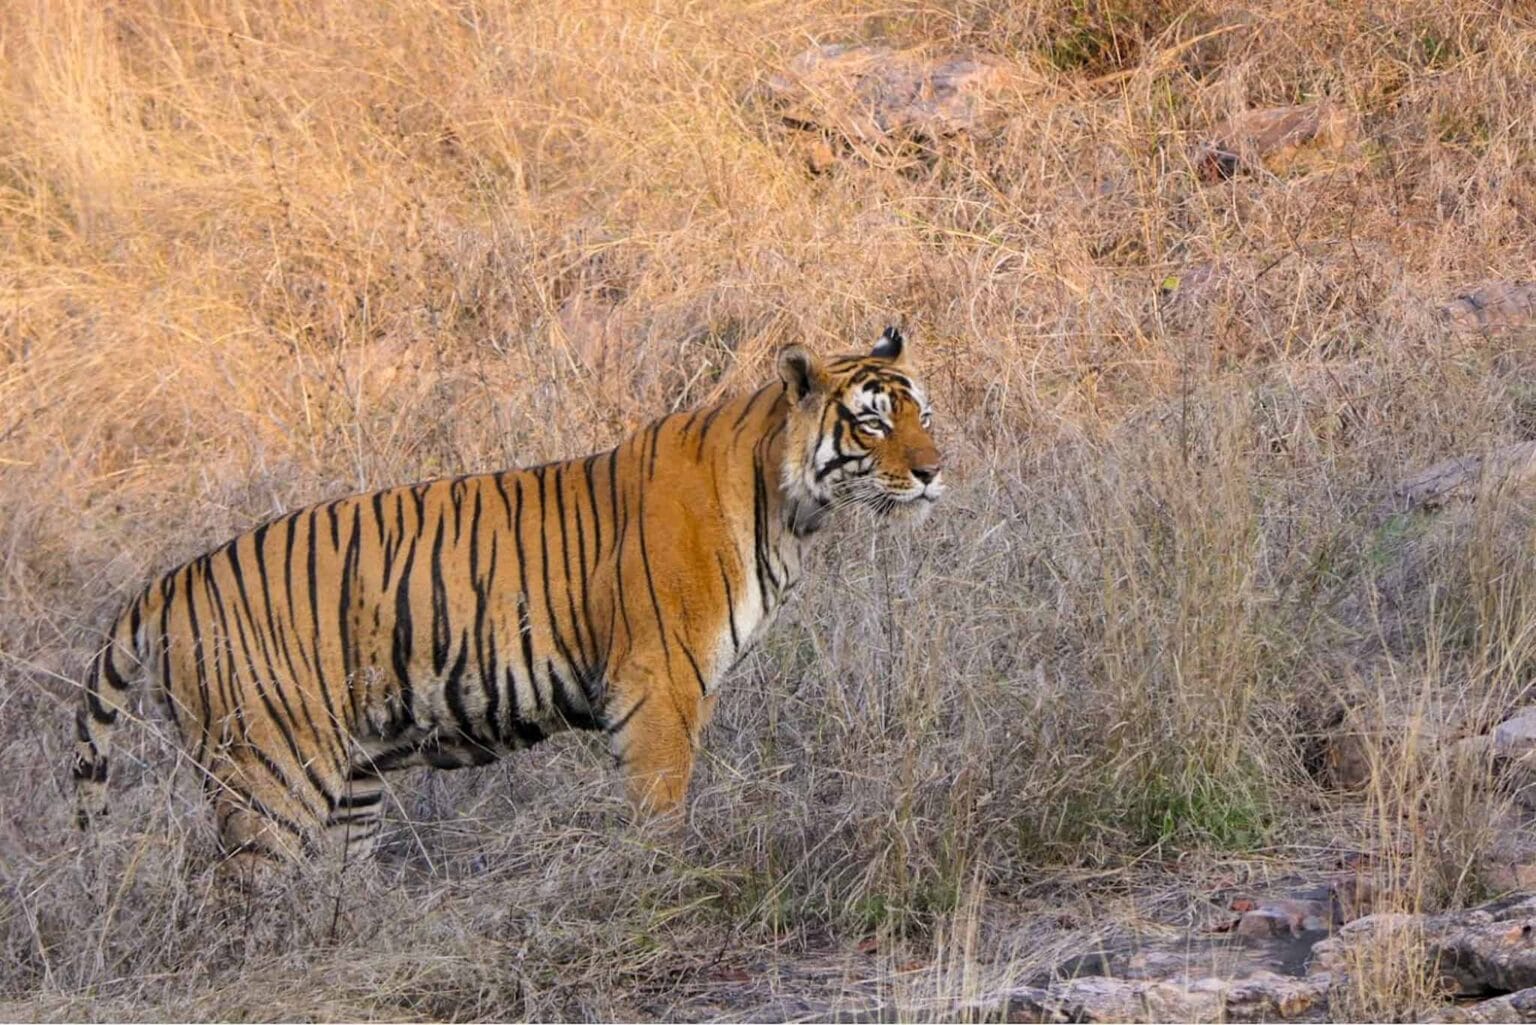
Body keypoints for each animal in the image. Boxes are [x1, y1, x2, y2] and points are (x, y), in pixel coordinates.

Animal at [73, 327, 942, 863]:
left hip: (350, 779)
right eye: (870, 424)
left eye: (922, 412)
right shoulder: (658, 686)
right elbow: (662, 807)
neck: (789, 504)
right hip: (268, 774)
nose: (936, 469)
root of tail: (170, 579)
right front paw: (673, 882)